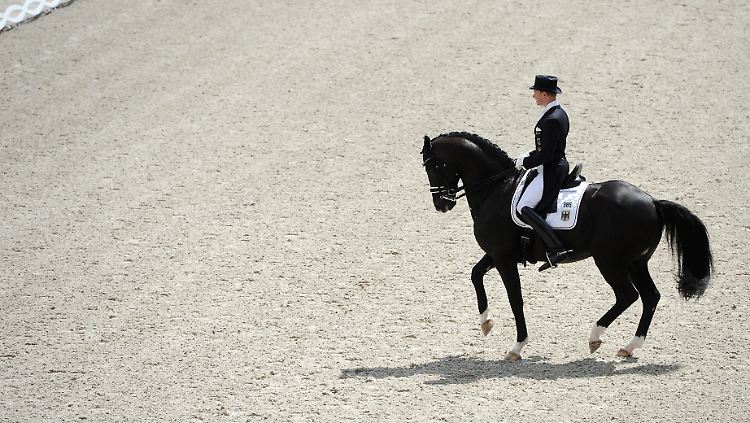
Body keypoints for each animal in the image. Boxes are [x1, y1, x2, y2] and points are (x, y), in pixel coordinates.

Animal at [420, 132, 713, 360]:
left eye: (432, 166)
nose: (441, 204)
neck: (497, 189)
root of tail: (652, 202)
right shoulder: (497, 254)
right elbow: (475, 274)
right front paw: (486, 323)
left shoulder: (503, 257)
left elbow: (515, 299)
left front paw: (517, 347)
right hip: (636, 262)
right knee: (650, 296)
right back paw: (629, 347)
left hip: (609, 260)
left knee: (627, 295)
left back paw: (595, 336)